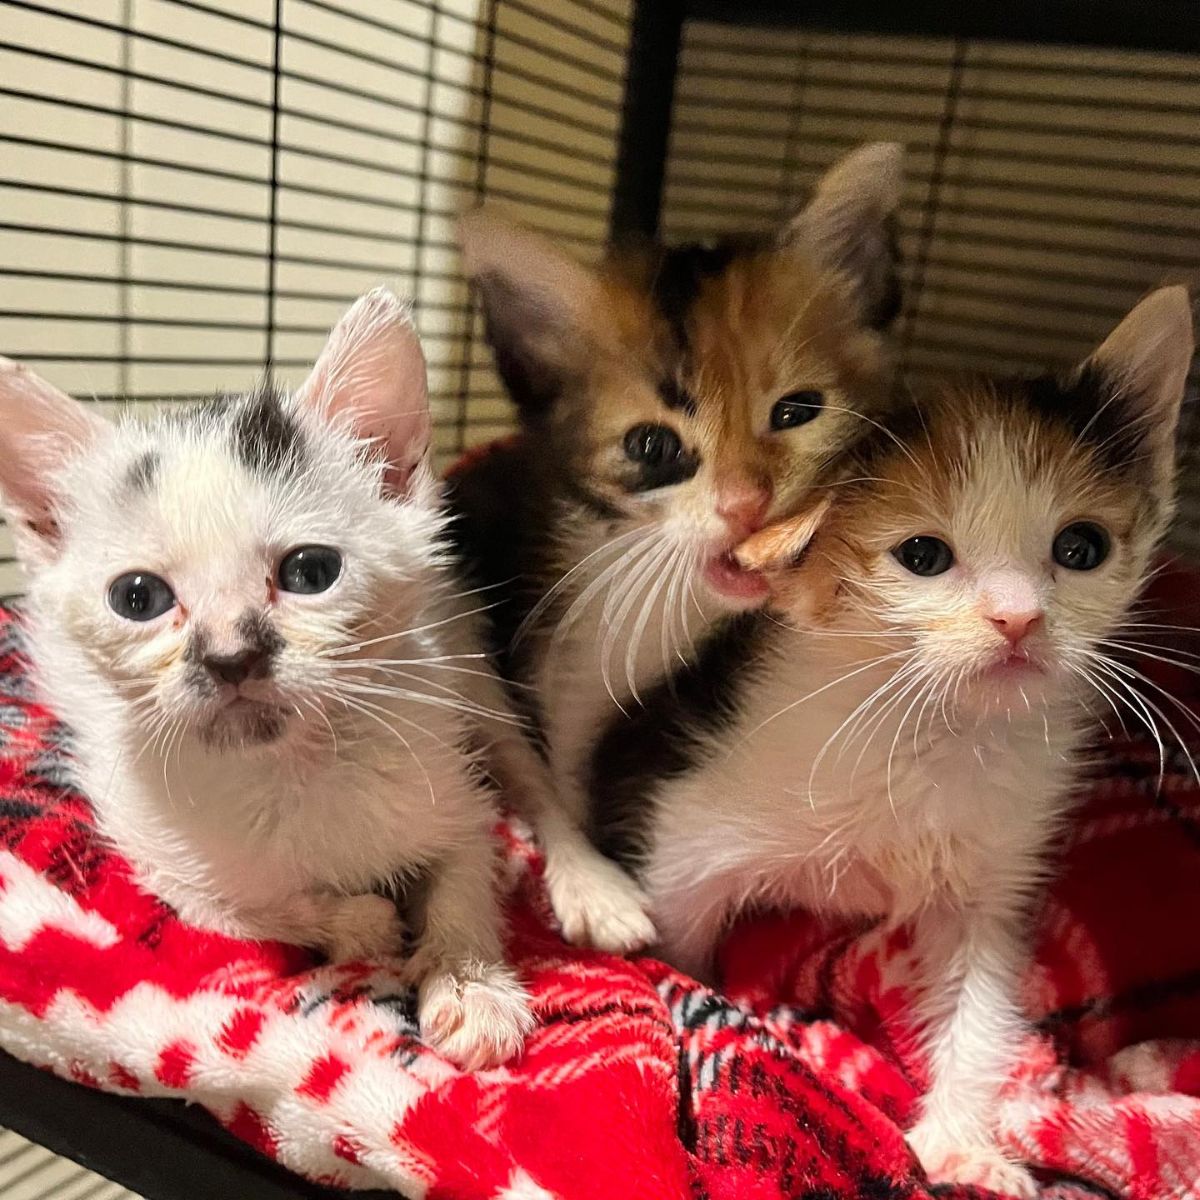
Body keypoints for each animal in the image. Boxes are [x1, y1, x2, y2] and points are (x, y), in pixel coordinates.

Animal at [0, 288, 535, 1070]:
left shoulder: (443, 772)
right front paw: (361, 921)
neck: (289, 769)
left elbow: (465, 868)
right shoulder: (150, 844)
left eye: (310, 572)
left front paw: (472, 984)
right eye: (138, 597)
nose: (230, 656)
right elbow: (240, 905)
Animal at [590, 288, 1190, 1190]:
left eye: (1081, 548)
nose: (1020, 619)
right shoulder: (689, 832)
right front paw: (693, 994)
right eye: (922, 555)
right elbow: (681, 938)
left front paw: (963, 1142)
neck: (930, 728)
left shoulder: (995, 875)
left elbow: (981, 996)